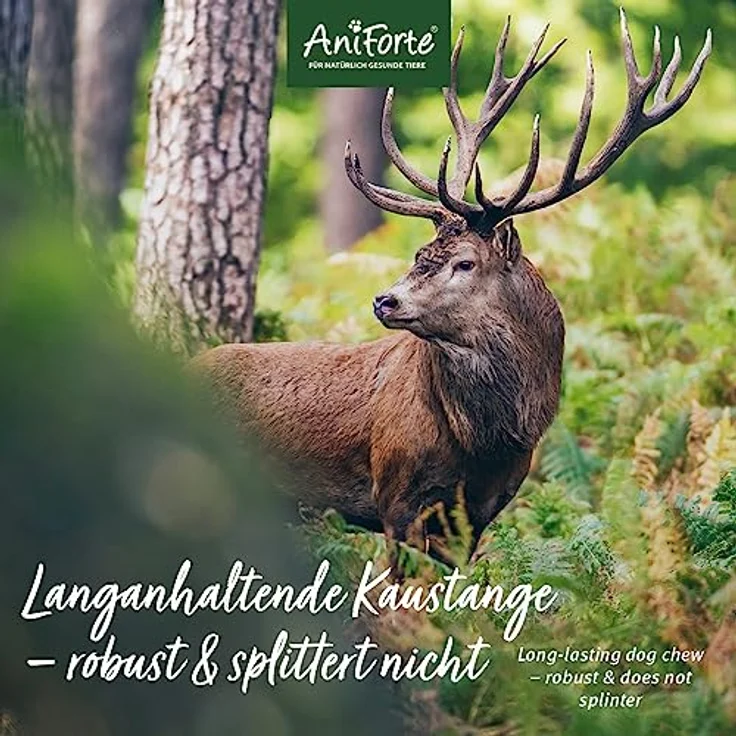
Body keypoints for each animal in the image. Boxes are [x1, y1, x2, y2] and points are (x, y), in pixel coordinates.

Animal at [194, 11, 711, 555]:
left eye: (464, 263)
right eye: (419, 254)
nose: (384, 300)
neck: (484, 446)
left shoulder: (479, 515)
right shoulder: (395, 496)